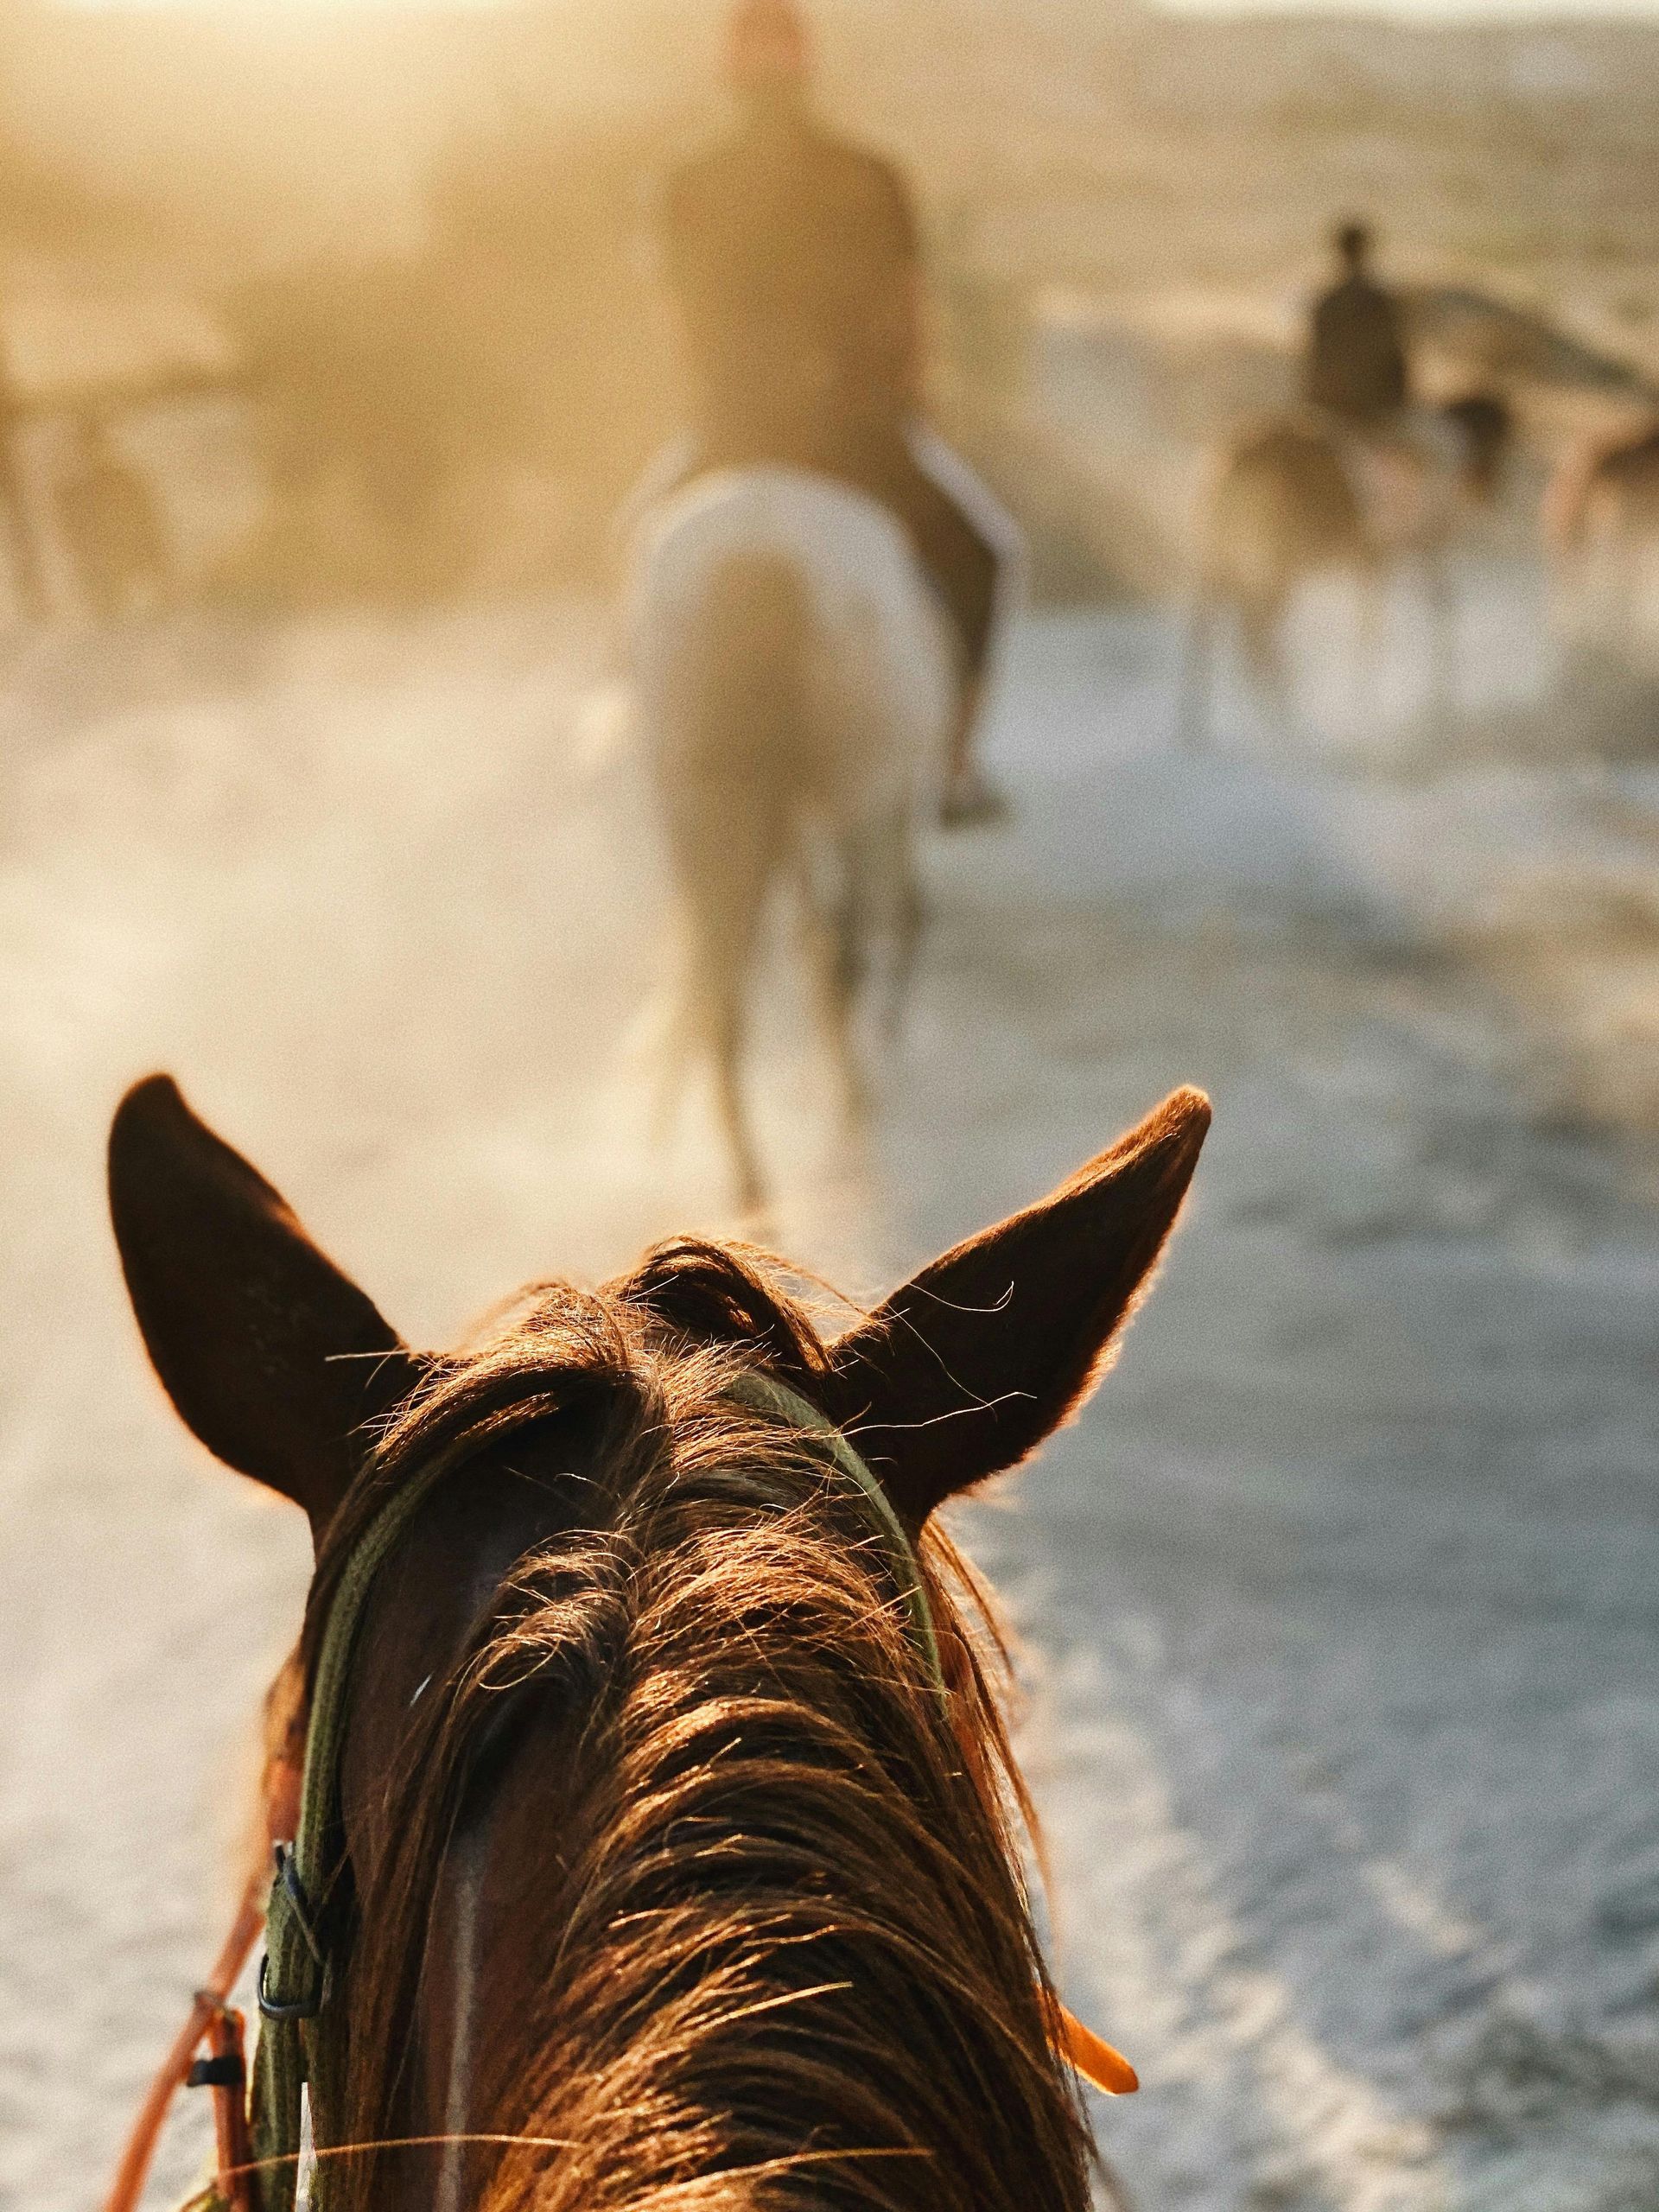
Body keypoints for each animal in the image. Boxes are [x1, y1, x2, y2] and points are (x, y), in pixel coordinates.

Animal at [629, 465, 956, 1216]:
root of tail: (762, 549)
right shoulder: (869, 807)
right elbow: (852, 937)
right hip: (852, 800)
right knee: (842, 955)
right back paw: (849, 1111)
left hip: (701, 808)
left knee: (722, 985)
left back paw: (749, 1177)